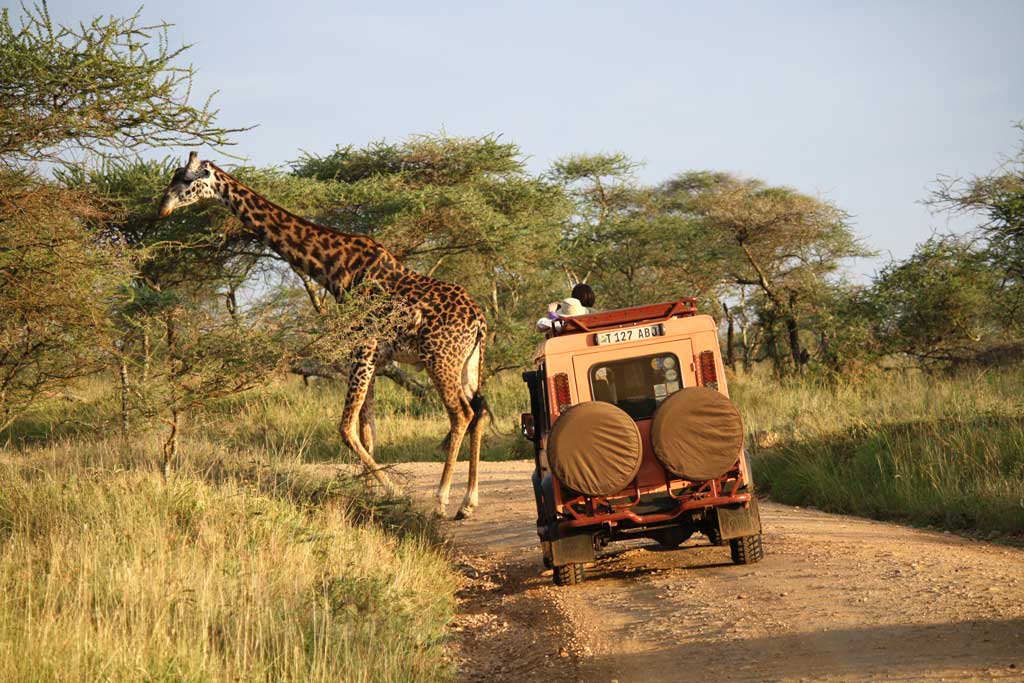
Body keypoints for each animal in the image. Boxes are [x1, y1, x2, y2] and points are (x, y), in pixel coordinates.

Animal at [158, 152, 489, 519]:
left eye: (186, 179)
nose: (162, 207)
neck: (333, 266)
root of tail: (479, 320)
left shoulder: (362, 345)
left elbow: (346, 427)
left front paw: (393, 490)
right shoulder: (376, 356)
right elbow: (367, 429)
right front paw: (371, 494)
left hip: (439, 359)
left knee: (462, 413)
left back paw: (442, 500)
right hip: (468, 362)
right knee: (480, 411)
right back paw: (468, 502)